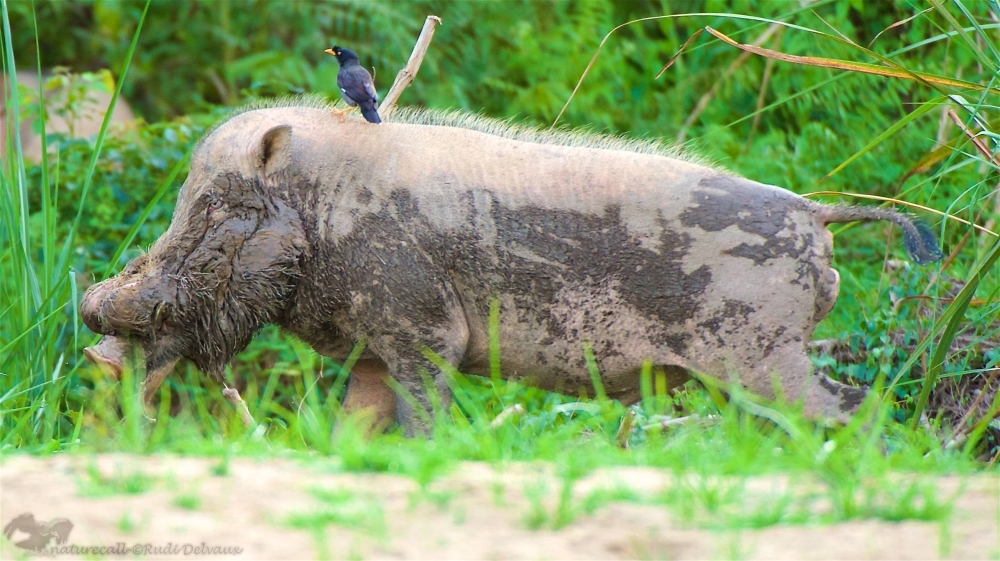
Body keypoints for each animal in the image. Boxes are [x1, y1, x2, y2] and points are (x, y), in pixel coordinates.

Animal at [80, 98, 942, 435]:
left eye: (217, 210)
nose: (94, 328)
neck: (323, 211)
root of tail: (815, 215)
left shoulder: (425, 332)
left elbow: (422, 418)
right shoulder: (373, 350)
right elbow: (354, 423)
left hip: (763, 354)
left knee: (858, 405)